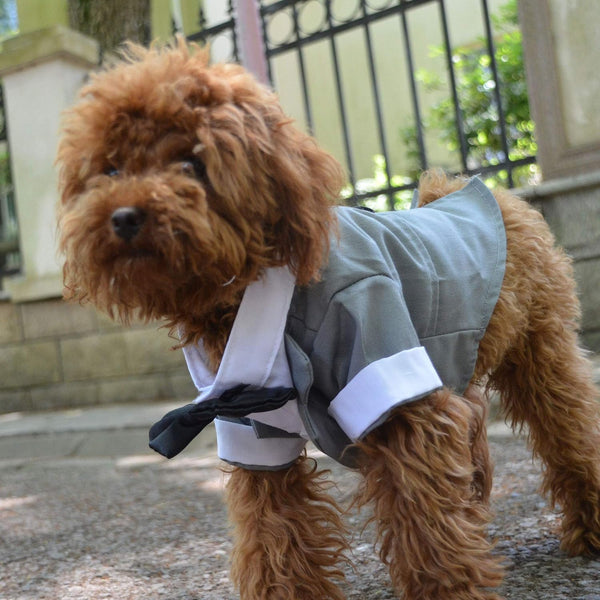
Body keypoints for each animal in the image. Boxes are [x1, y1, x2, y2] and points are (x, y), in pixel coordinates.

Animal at [56, 38, 600, 600]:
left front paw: (448, 586)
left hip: (541, 349)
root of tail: (477, 192)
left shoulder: (393, 385)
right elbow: (273, 530)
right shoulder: (246, 415)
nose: (124, 216)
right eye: (111, 170)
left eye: (191, 161)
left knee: (570, 427)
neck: (263, 292)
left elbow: (426, 516)